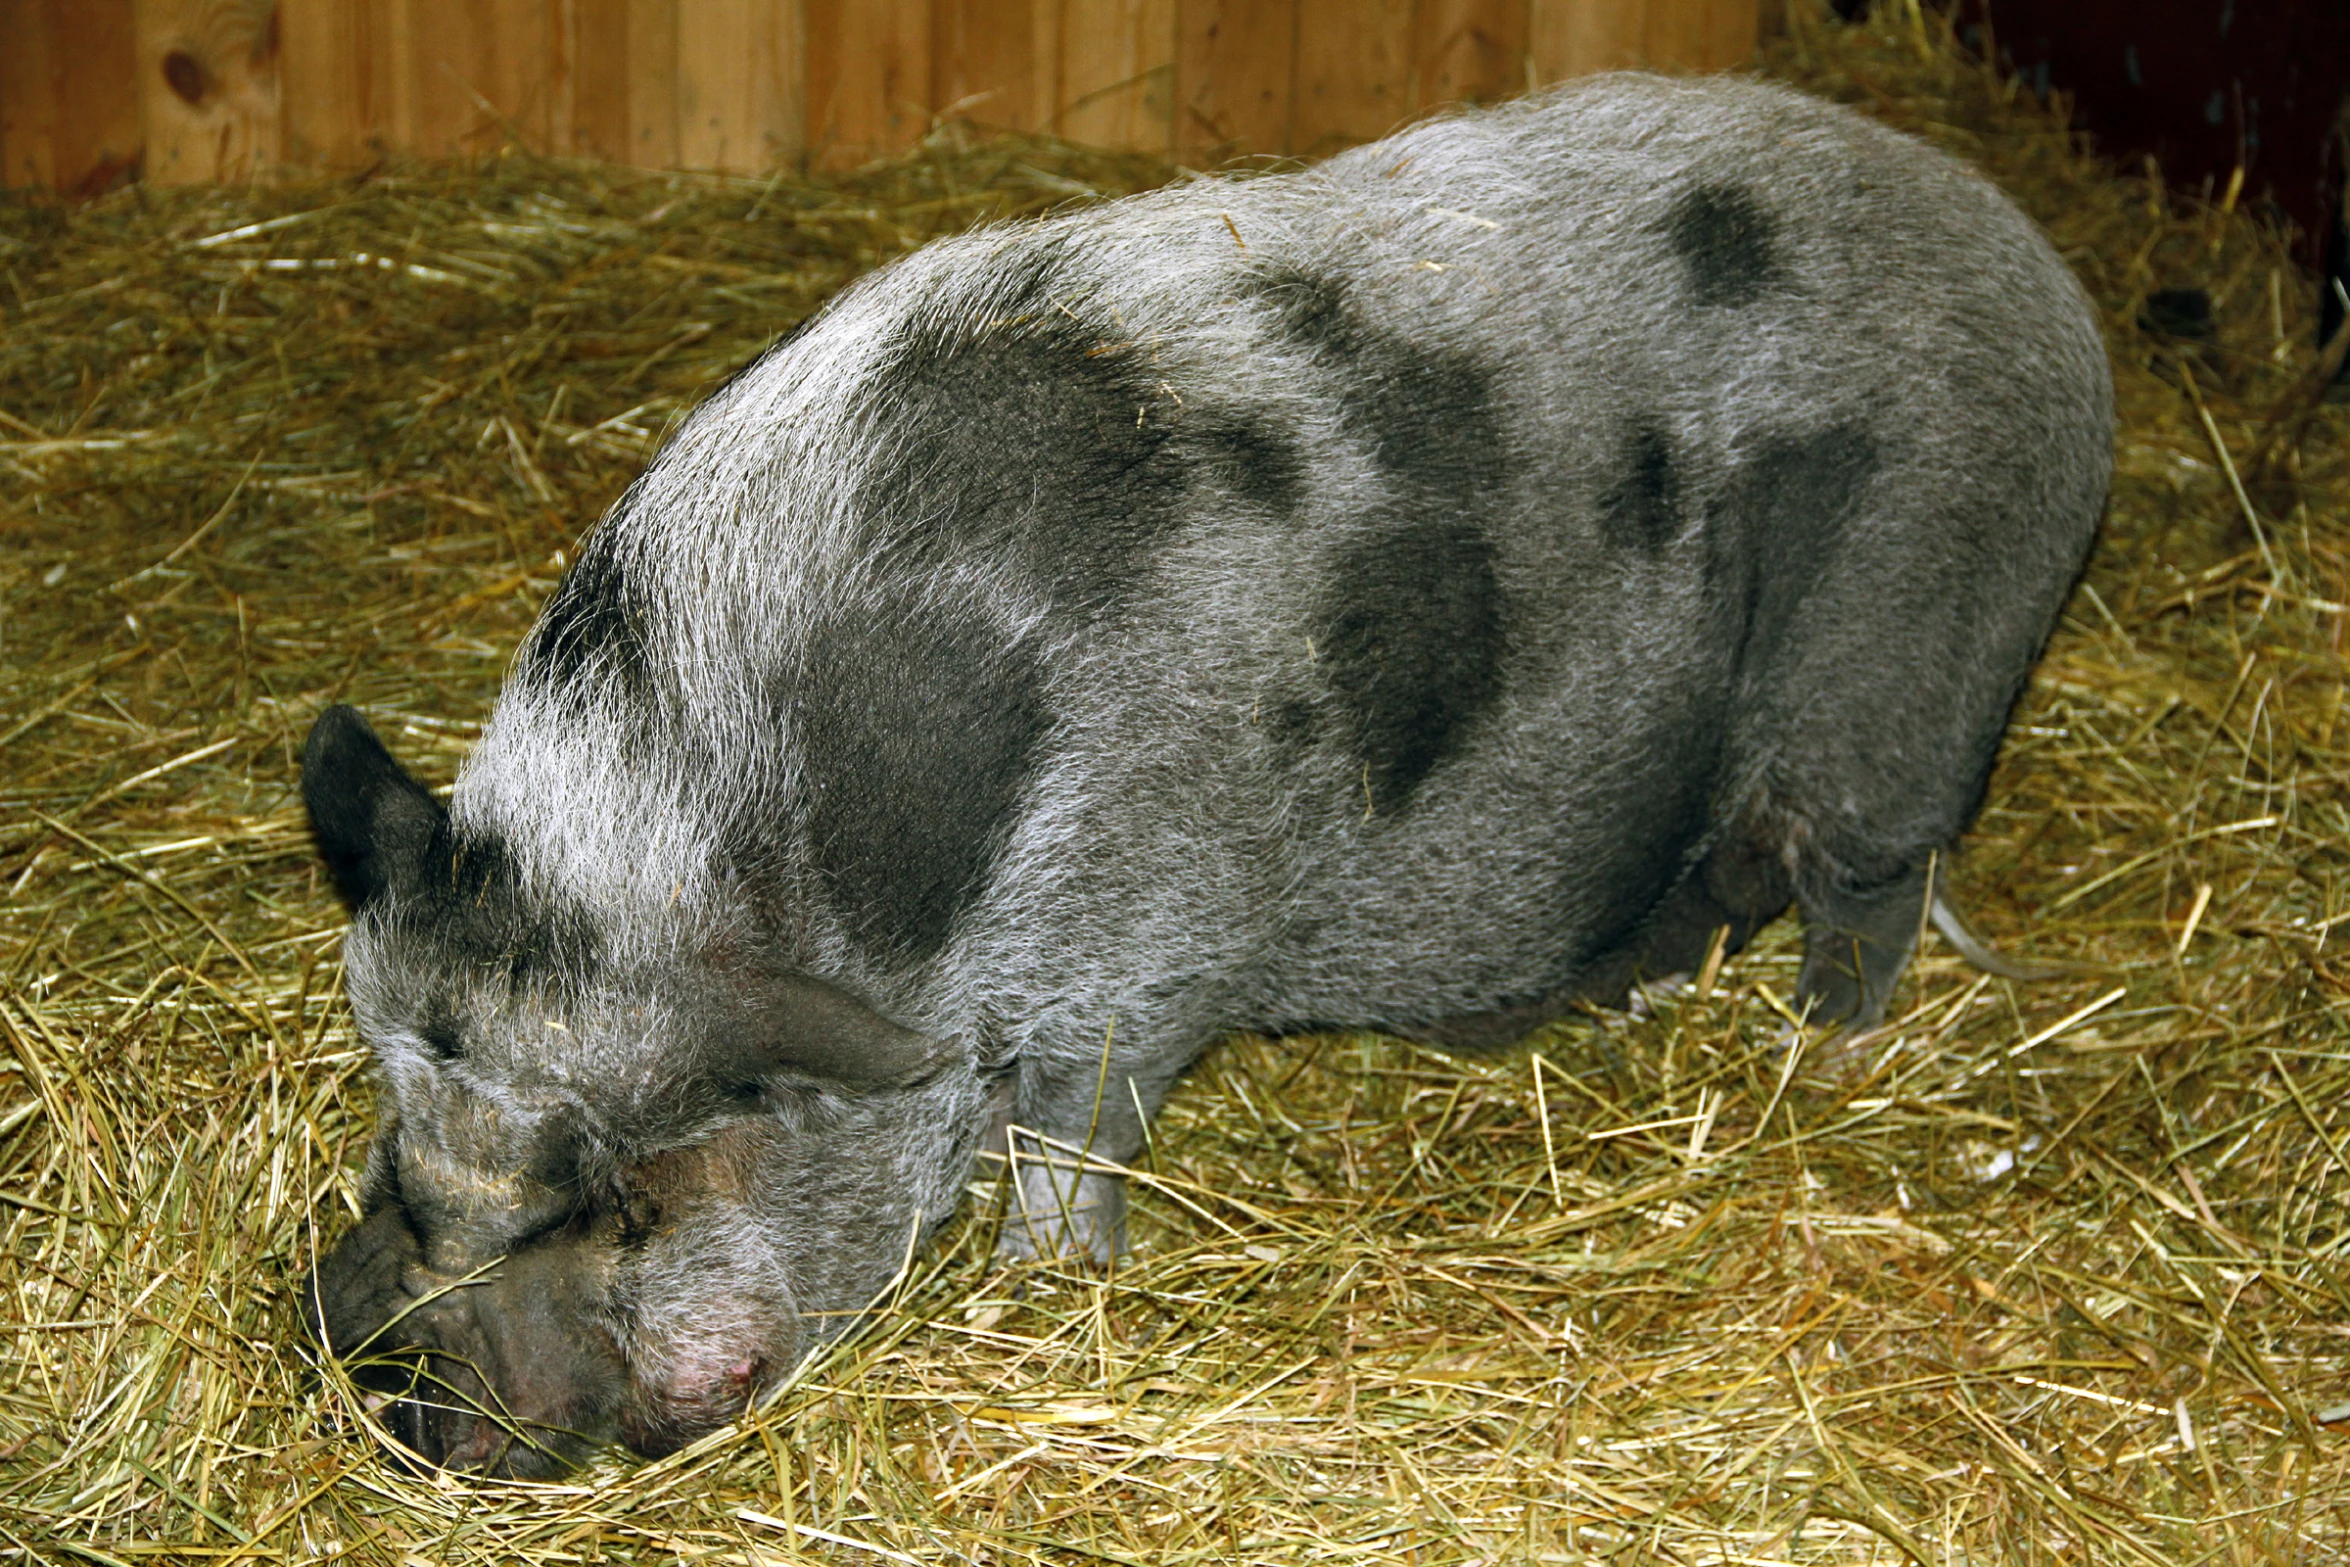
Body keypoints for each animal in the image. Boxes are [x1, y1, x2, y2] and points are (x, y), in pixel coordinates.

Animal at [293, 70, 2115, 1475]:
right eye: (399, 1134)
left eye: (628, 1196)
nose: (397, 1396)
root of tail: (2034, 268)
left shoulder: (1134, 945)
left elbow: (1076, 1141)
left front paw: (1043, 1301)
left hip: (1910, 671)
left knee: (1866, 882)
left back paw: (1826, 1051)